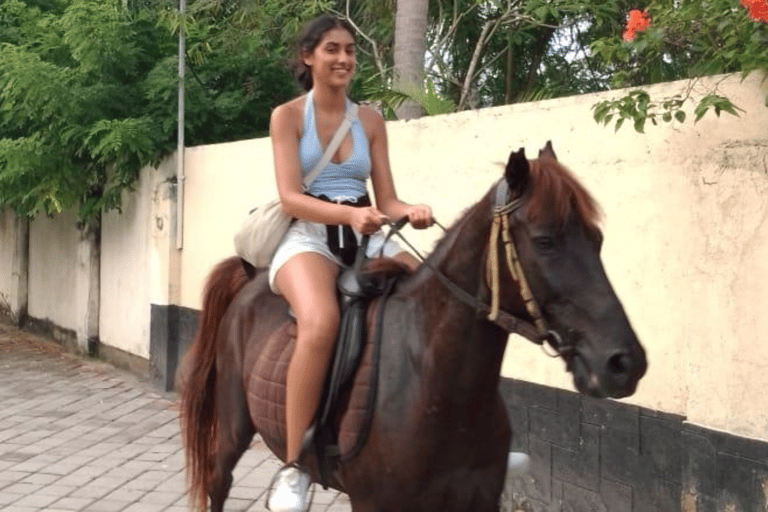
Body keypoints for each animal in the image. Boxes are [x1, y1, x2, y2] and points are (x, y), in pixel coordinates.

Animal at [177, 143, 644, 512]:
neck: (435, 385)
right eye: (545, 241)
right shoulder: (376, 503)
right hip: (234, 423)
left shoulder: (477, 499)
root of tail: (252, 278)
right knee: (218, 482)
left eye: (598, 239)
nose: (625, 363)